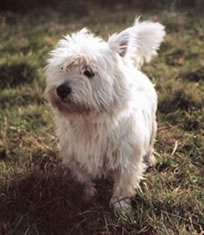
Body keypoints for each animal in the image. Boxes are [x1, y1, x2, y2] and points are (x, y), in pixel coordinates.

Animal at [45, 17, 166, 209]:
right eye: (63, 68)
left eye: (88, 72)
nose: (61, 90)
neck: (90, 119)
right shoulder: (75, 155)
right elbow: (83, 178)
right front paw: (87, 196)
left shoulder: (127, 158)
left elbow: (123, 186)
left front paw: (121, 208)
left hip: (152, 126)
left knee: (150, 145)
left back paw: (150, 160)